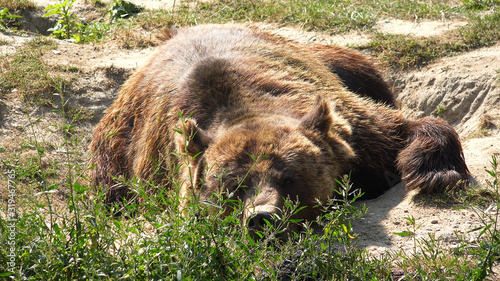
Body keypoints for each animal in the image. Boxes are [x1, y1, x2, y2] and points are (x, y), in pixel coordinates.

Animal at [90, 23, 468, 235]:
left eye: (289, 178)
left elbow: (405, 128)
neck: (242, 107)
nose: (261, 218)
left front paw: (435, 174)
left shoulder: (355, 131)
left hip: (338, 62)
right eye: (232, 187)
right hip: (116, 147)